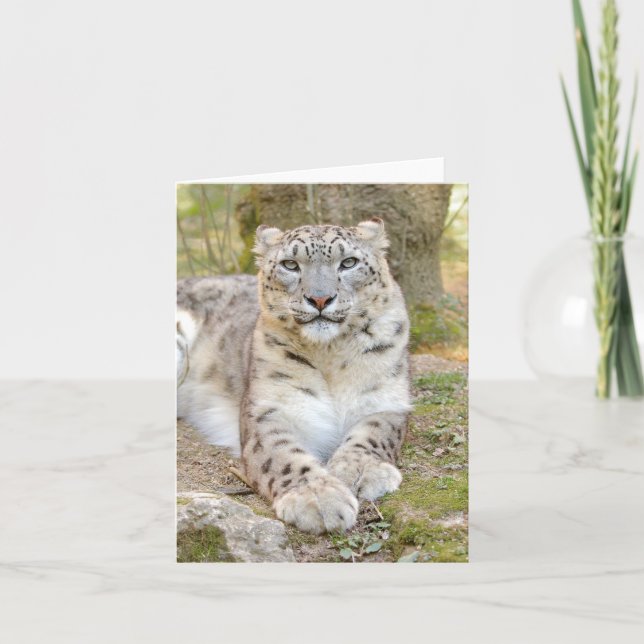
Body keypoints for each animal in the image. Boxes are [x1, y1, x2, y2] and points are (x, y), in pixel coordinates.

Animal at [176, 218, 410, 534]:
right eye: (290, 264)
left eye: (348, 262)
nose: (320, 299)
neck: (330, 355)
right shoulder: (271, 409)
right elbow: (283, 454)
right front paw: (318, 498)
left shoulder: (386, 399)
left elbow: (373, 435)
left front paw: (361, 471)